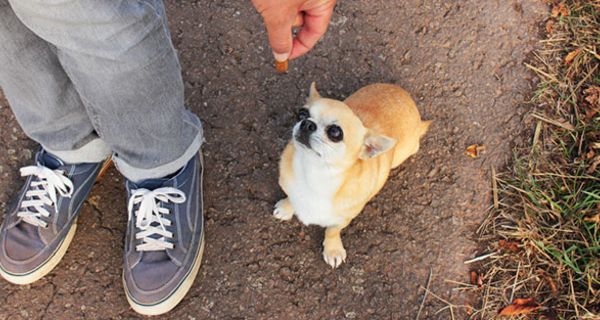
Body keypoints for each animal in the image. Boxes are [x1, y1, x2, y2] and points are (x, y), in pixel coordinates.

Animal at [274, 82, 428, 268]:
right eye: (301, 114)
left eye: (335, 133)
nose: (306, 123)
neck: (315, 172)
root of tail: (406, 97)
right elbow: (291, 196)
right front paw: (286, 207)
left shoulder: (342, 219)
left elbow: (332, 231)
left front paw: (333, 249)